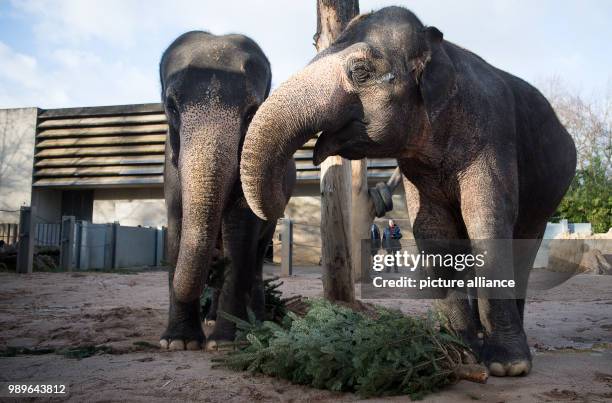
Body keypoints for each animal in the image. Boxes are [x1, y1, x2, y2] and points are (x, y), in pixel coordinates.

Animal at [159, 31, 296, 352]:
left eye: (251, 113)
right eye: (171, 107)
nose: (215, 261)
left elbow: (241, 229)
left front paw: (225, 344)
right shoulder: (171, 167)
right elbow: (176, 226)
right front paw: (178, 342)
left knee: (256, 260)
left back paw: (254, 321)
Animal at [240, 7, 580, 378]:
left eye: (361, 71)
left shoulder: (491, 136)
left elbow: (486, 220)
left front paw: (508, 366)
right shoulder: (416, 168)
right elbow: (432, 229)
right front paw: (462, 352)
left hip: (548, 194)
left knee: (525, 243)